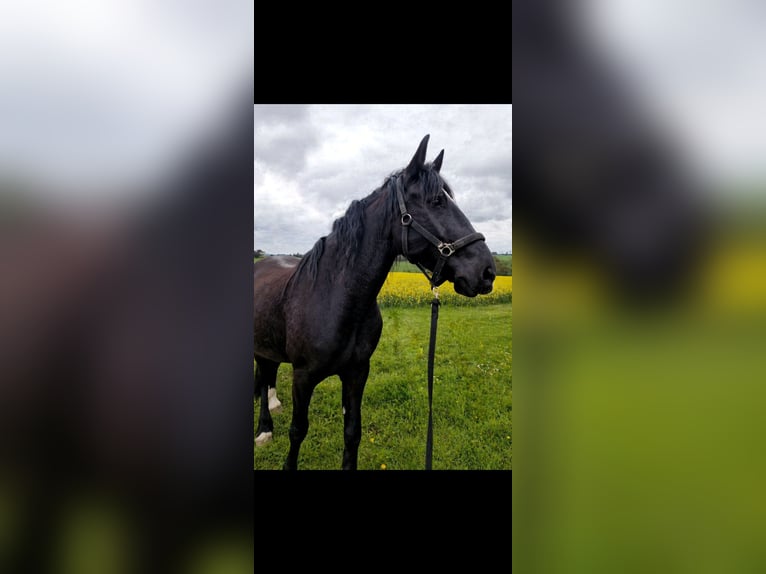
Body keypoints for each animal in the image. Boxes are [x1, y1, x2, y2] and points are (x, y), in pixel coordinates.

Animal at [254, 134, 497, 470]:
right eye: (437, 201)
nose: (487, 272)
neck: (336, 298)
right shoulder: (303, 377)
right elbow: (297, 431)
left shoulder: (357, 373)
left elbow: (352, 432)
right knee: (264, 377)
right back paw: (264, 429)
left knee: (268, 374)